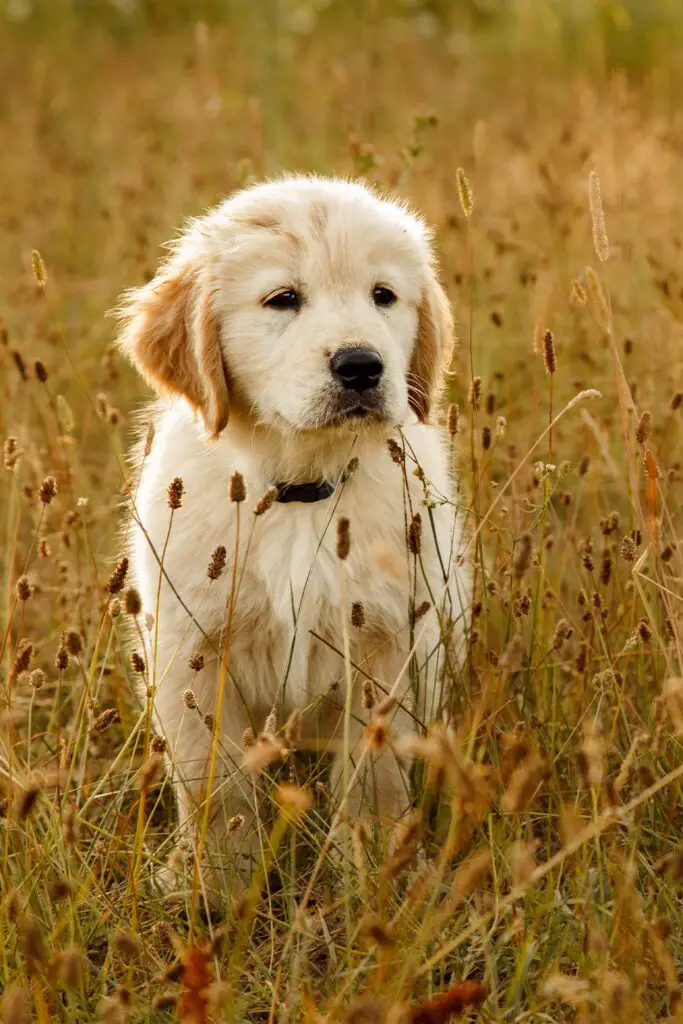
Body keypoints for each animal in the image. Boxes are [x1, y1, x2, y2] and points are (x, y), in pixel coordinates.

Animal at [117, 176, 471, 888]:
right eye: (283, 299)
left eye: (383, 295)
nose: (362, 366)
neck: (300, 486)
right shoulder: (191, 647)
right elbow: (213, 778)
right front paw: (214, 878)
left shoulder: (386, 642)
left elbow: (373, 771)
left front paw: (371, 866)